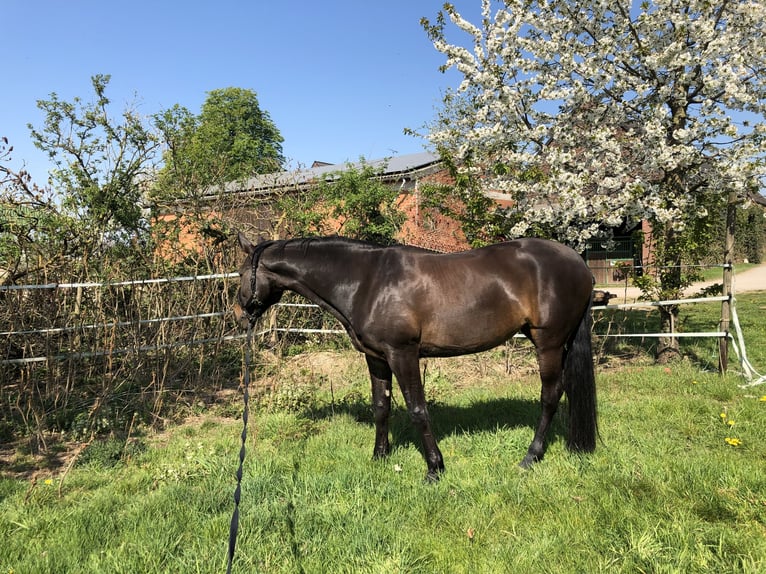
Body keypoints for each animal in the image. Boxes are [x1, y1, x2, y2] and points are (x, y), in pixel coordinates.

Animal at [237, 234, 596, 482]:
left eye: (241, 274)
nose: (241, 318)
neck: (366, 281)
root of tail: (579, 264)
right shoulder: (377, 358)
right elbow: (381, 407)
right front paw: (379, 457)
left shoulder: (403, 354)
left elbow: (417, 410)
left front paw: (434, 468)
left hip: (548, 343)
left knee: (550, 395)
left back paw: (530, 457)